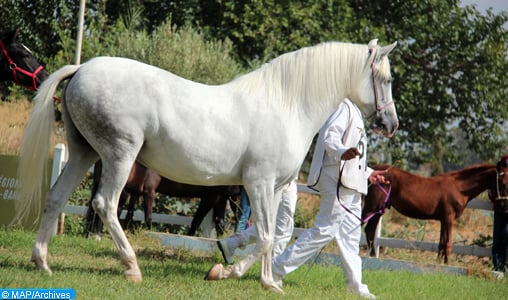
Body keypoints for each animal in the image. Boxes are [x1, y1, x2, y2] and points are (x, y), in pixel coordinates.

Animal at [364, 163, 498, 264]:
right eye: (501, 178)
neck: (459, 187)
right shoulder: (449, 218)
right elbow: (448, 244)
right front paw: (447, 264)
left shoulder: (443, 220)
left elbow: (441, 244)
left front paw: (439, 263)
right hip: (372, 208)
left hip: (378, 211)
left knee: (370, 230)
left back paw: (372, 256)